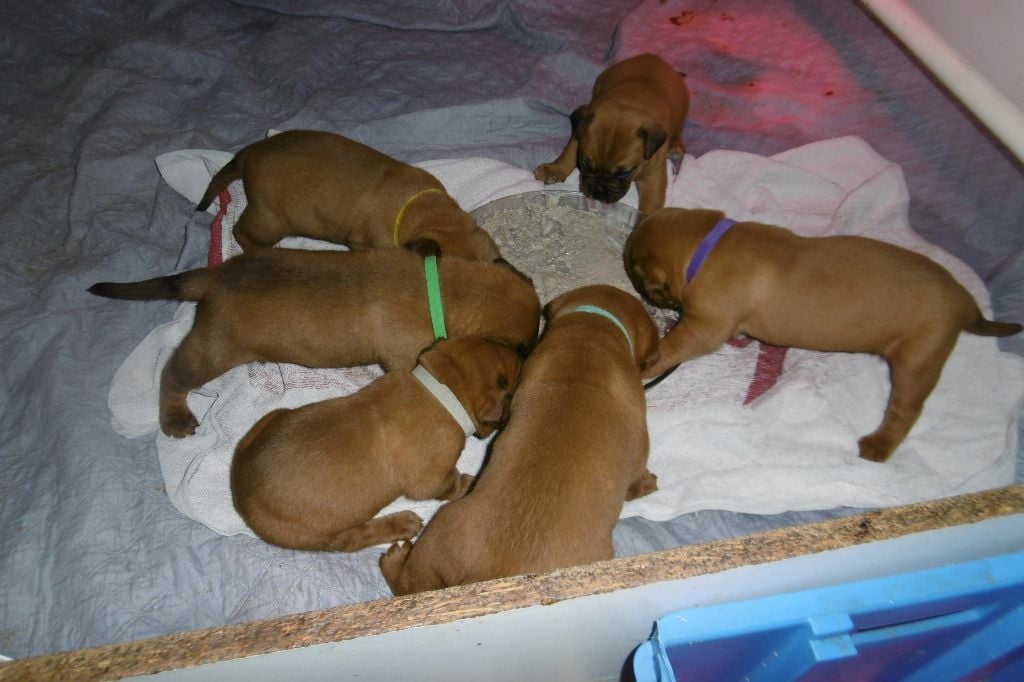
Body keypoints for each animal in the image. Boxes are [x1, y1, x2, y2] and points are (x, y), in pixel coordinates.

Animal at [89, 248, 540, 436]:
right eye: (522, 349)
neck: (445, 288)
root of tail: (215, 276)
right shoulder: (407, 357)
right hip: (213, 351)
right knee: (172, 374)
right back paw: (174, 417)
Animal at [380, 284, 659, 593]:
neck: (591, 331)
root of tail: (495, 578)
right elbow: (637, 481)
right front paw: (649, 484)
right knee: (406, 585)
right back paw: (394, 560)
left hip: (440, 534)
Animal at [532, 55, 692, 215]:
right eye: (585, 163)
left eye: (624, 173)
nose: (598, 194)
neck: (630, 102)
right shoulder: (579, 134)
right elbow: (568, 154)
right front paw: (555, 169)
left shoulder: (653, 174)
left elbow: (650, 203)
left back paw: (676, 147)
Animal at [618, 206, 1019, 462]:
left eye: (637, 277)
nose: (642, 293)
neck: (707, 245)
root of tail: (963, 300)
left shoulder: (704, 327)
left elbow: (674, 346)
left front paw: (649, 362)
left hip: (917, 361)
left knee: (905, 410)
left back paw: (879, 445)